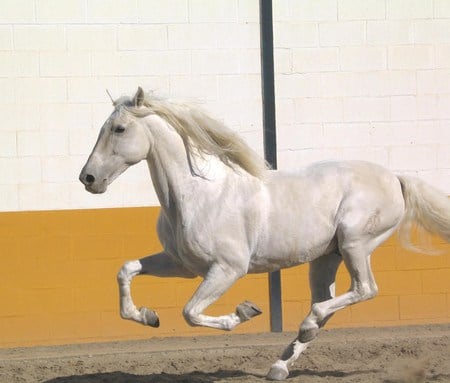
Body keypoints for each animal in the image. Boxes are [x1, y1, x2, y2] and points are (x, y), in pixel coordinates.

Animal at [80, 88, 450, 380]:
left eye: (119, 128)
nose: (88, 178)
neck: (198, 194)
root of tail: (396, 179)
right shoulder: (182, 265)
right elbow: (127, 270)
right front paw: (148, 316)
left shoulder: (227, 269)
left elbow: (190, 313)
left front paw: (245, 311)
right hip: (326, 258)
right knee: (330, 302)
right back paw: (280, 365)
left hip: (355, 243)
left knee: (362, 290)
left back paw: (303, 330)